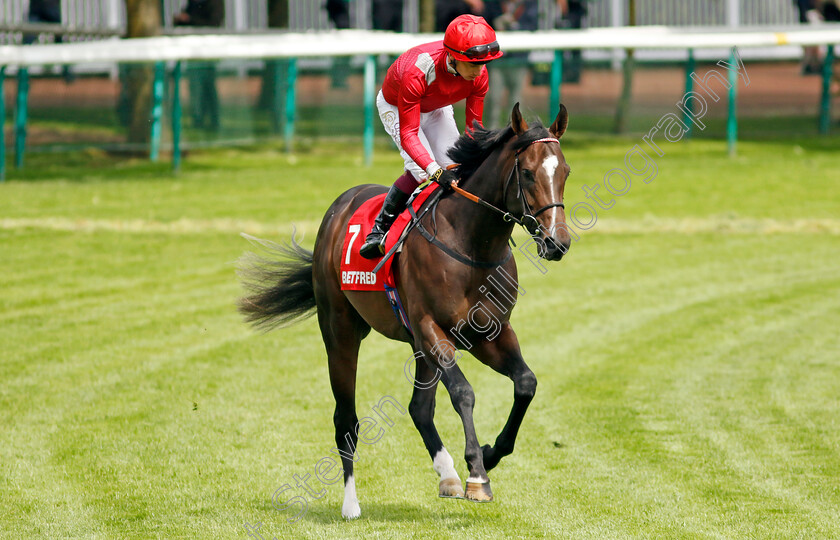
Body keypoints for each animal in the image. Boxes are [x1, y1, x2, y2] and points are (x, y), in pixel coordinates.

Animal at [240, 103, 576, 520]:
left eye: (565, 172)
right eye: (528, 173)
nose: (557, 242)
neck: (471, 243)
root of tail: (339, 207)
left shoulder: (491, 332)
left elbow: (526, 383)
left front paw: (488, 454)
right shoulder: (432, 328)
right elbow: (463, 392)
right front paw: (477, 474)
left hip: (415, 343)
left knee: (419, 408)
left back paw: (447, 475)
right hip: (340, 329)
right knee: (345, 419)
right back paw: (351, 504)